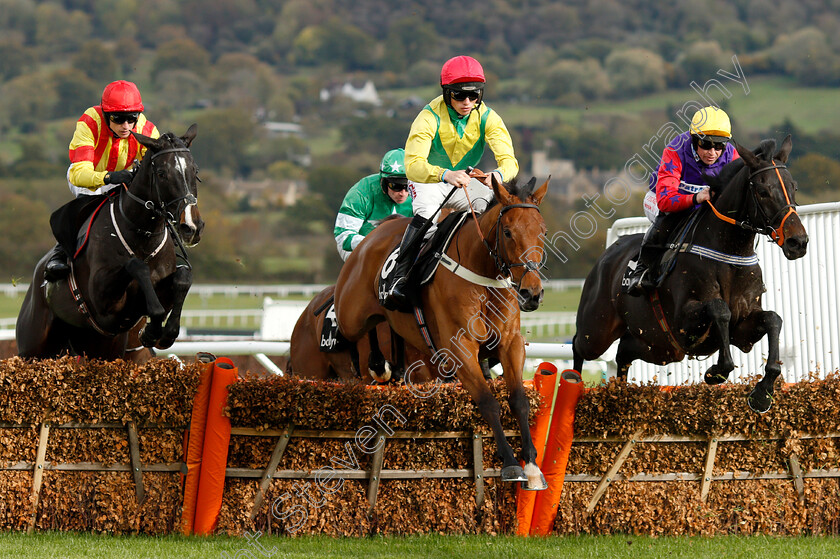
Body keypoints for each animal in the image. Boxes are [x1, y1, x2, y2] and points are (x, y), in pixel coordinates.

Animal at [16, 125, 203, 360]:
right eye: (162, 174)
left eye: (194, 172)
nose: (192, 227)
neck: (141, 235)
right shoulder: (103, 304)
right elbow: (136, 266)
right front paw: (151, 329)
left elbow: (183, 277)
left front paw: (163, 332)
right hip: (33, 347)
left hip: (100, 346)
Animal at [334, 177, 552, 488]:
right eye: (508, 232)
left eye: (542, 232)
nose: (531, 294)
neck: (481, 272)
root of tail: (371, 237)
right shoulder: (460, 347)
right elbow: (488, 401)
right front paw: (510, 463)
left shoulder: (510, 343)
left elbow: (519, 400)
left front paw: (532, 466)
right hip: (350, 313)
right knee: (352, 331)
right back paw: (373, 363)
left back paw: (389, 367)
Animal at [576, 137, 812, 414]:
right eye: (763, 191)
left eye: (793, 187)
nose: (798, 242)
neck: (729, 252)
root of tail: (607, 253)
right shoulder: (683, 321)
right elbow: (719, 309)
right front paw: (716, 371)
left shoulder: (743, 328)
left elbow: (773, 319)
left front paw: (762, 393)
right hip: (598, 330)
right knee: (579, 345)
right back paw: (572, 384)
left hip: (657, 346)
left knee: (623, 352)